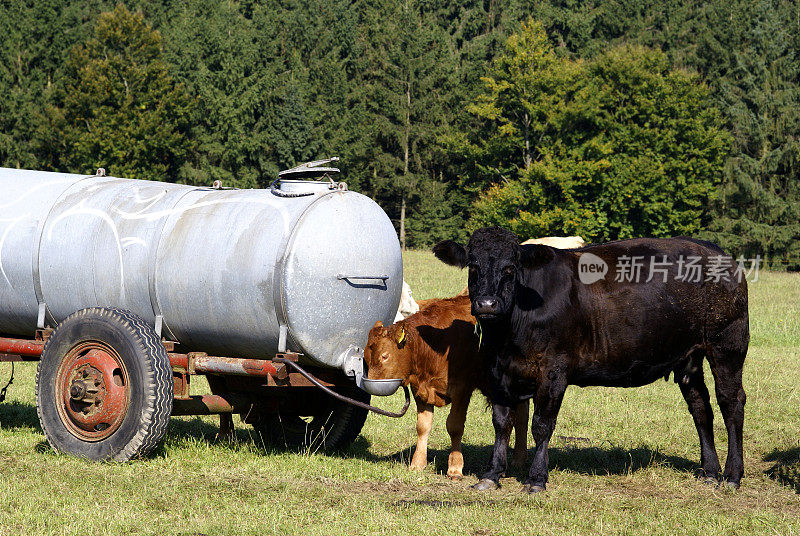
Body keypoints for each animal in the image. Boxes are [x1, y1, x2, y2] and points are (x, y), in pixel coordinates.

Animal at [364, 296, 528, 480]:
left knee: (519, 419)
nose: (370, 384)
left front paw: (455, 467)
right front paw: (417, 463)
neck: (435, 344)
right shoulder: (420, 390)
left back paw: (516, 461)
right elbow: (422, 426)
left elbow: (454, 426)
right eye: (365, 356)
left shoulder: (462, 389)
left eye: (384, 356)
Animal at [434, 226, 748, 494]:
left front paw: (536, 479)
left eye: (511, 268)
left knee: (731, 402)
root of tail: (714, 251)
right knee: (700, 407)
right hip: (689, 357)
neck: (509, 334)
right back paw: (710, 472)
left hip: (727, 345)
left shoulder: (553, 370)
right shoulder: (499, 369)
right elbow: (501, 422)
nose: (487, 304)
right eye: (473, 267)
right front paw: (491, 475)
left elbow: (541, 424)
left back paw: (732, 475)